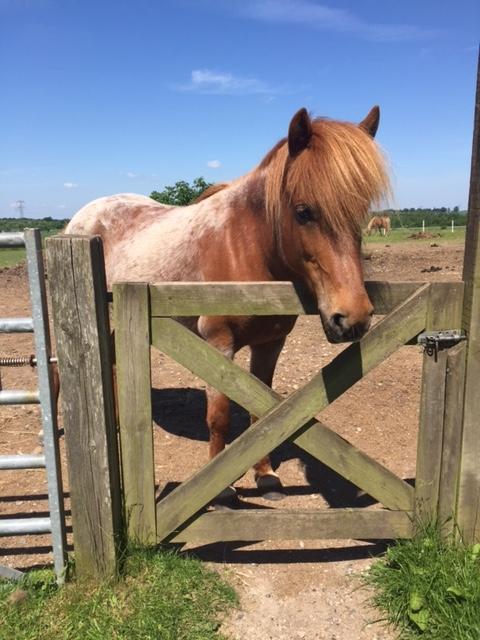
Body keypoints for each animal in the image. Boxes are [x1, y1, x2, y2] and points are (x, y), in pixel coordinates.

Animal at [66, 107, 390, 502]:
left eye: (362, 212)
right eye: (303, 212)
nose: (353, 318)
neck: (247, 248)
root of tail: (83, 215)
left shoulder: (270, 344)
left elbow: (260, 411)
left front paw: (266, 476)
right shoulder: (219, 345)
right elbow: (219, 416)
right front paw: (220, 489)